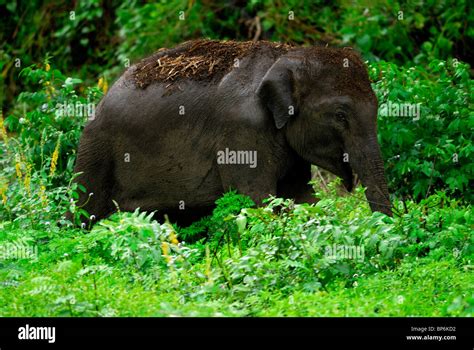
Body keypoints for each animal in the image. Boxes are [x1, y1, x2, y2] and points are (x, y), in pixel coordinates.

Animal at [72, 39, 392, 226]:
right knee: (82, 211)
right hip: (96, 152)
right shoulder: (241, 132)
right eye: (340, 115)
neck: (286, 54)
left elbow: (300, 198)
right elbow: (257, 201)